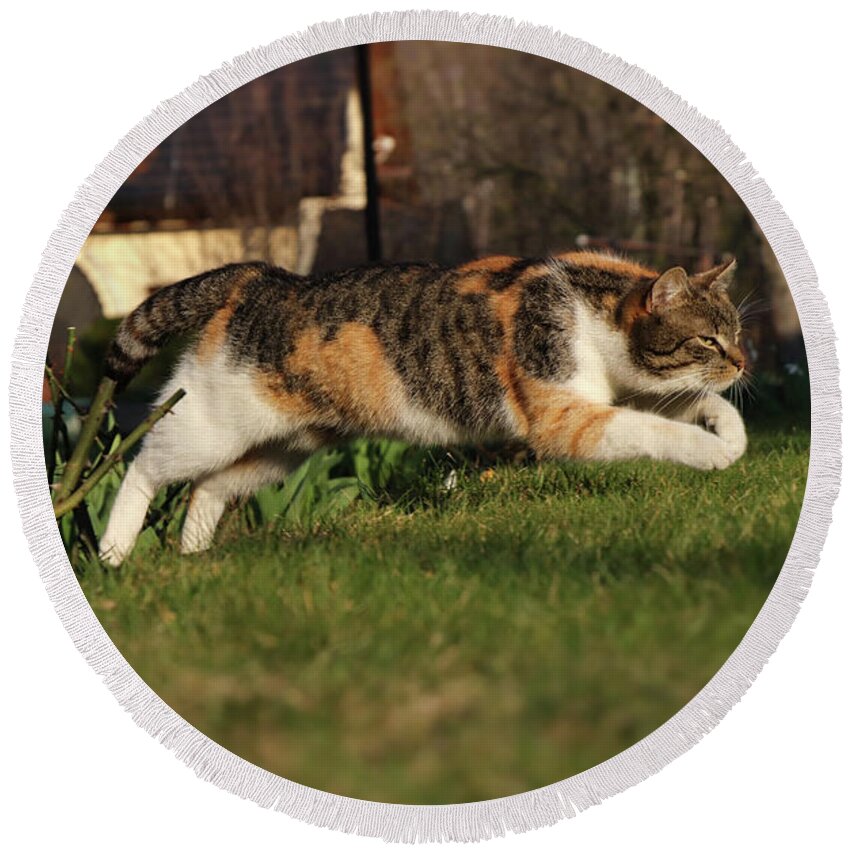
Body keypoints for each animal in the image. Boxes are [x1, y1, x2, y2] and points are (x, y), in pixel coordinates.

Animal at [99, 253, 744, 568]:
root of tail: (261, 277)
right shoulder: (564, 417)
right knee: (142, 463)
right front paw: (711, 455)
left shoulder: (624, 393)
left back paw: (194, 561)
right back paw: (113, 555)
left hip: (286, 447)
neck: (587, 311)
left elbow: (689, 405)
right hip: (210, 422)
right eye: (707, 341)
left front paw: (730, 436)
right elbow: (651, 429)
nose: (743, 362)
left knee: (210, 488)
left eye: (735, 333)